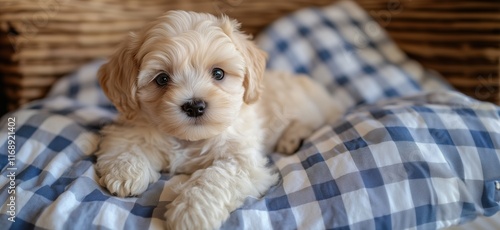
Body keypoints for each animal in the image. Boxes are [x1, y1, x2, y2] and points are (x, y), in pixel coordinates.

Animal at [94, 9, 340, 229]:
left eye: (218, 73)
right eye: (162, 79)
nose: (195, 106)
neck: (190, 139)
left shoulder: (241, 160)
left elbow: (215, 178)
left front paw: (191, 211)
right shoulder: (134, 124)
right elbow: (127, 143)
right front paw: (125, 171)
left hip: (309, 108)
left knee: (310, 124)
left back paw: (291, 139)